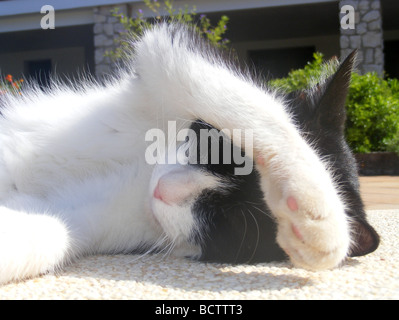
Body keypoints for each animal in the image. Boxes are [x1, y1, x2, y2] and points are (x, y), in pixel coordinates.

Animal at [0, 25, 378, 284]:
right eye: (219, 147)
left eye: (228, 218)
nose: (165, 189)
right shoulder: (167, 55)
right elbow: (247, 99)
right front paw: (320, 208)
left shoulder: (93, 216)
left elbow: (56, 229)